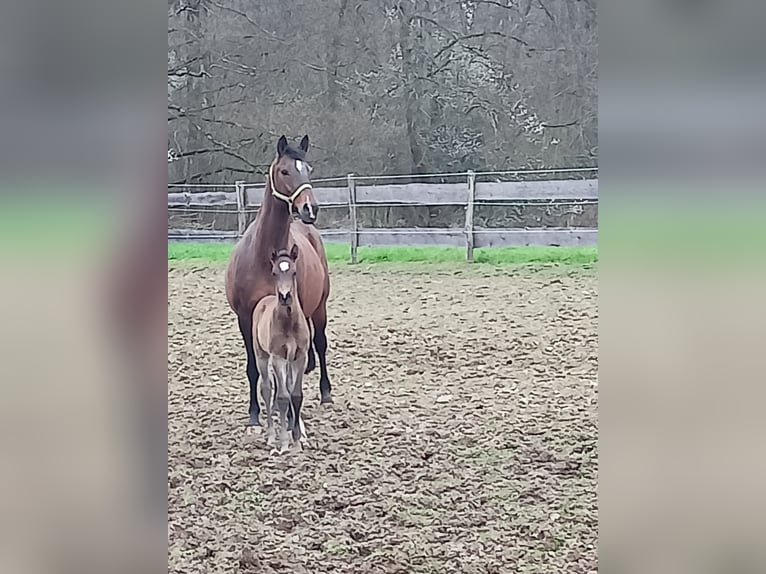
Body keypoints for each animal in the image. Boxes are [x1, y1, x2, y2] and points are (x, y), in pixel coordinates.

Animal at [222, 134, 330, 428]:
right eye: (284, 171)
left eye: (308, 169)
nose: (310, 208)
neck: (263, 255)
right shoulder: (246, 318)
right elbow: (253, 368)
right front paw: (254, 415)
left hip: (320, 307)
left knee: (321, 344)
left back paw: (326, 393)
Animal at [254, 248, 310, 454]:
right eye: (274, 273)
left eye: (294, 272)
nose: (285, 296)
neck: (289, 322)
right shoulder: (278, 357)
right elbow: (283, 397)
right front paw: (285, 443)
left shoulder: (300, 357)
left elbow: (296, 395)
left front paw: (297, 440)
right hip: (262, 355)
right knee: (267, 389)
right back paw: (271, 436)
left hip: (289, 361)